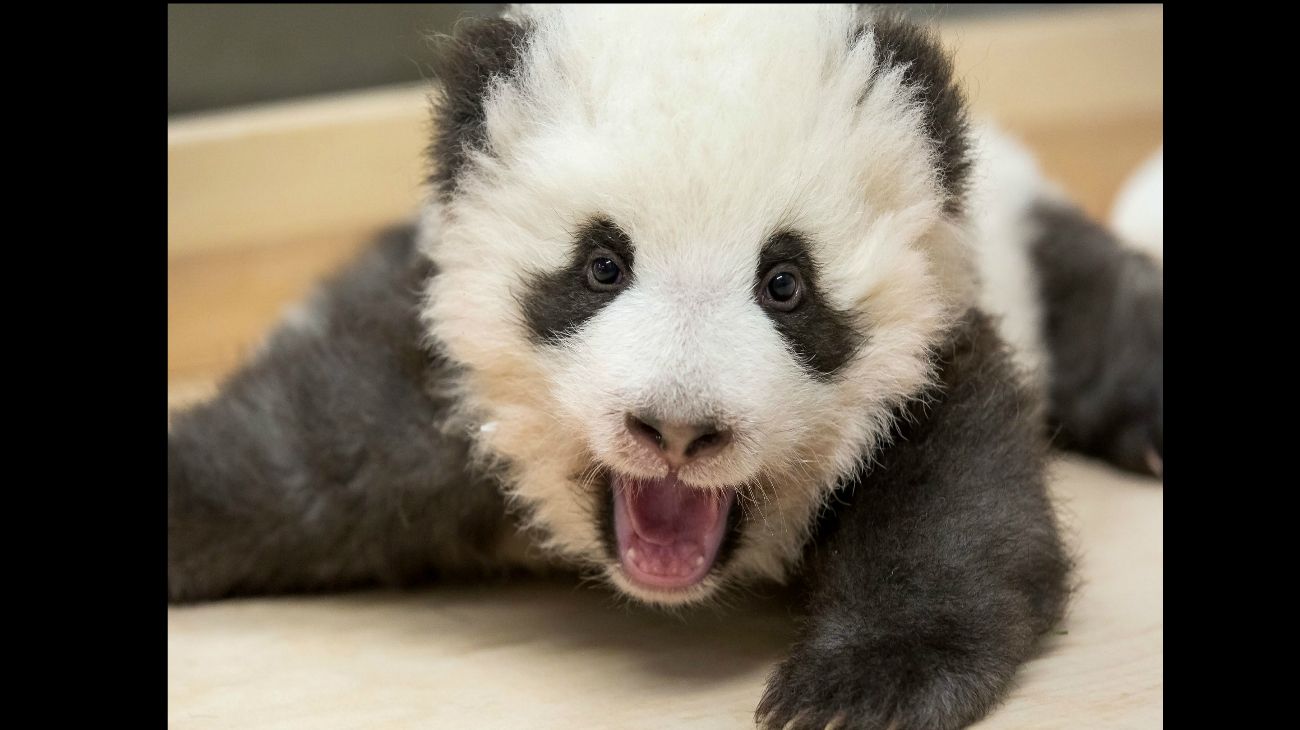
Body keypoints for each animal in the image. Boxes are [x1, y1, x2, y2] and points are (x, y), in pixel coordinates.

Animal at [165, 7, 1170, 727]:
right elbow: (295, 455)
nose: (678, 430)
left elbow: (963, 517)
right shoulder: (445, 385)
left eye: (784, 282)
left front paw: (861, 687)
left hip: (1033, 250)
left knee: (1108, 310)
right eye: (602, 266)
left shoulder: (932, 354)